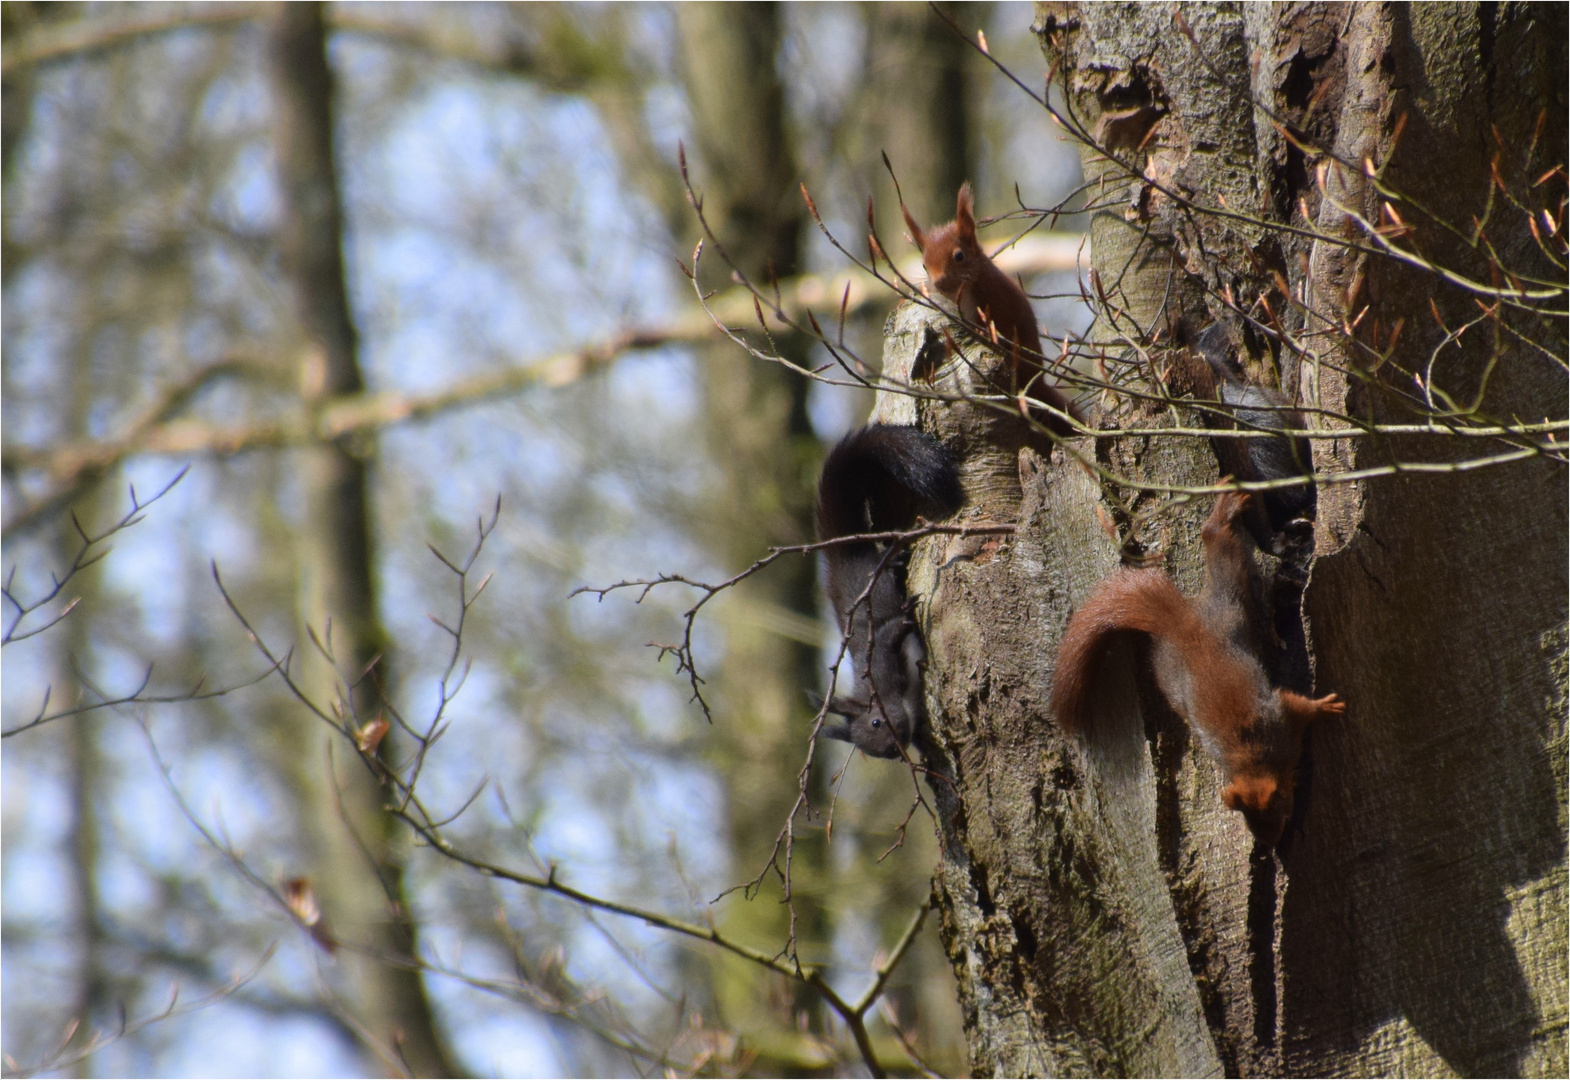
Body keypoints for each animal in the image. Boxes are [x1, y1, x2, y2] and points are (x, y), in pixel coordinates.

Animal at [816, 423, 960, 759]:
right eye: (875, 754)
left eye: (876, 722)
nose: (896, 749)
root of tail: (842, 553)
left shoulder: (880, 655)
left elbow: (892, 629)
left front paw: (907, 615)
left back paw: (895, 561)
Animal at [904, 183, 1086, 436]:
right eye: (924, 264)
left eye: (959, 255)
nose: (938, 282)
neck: (962, 292)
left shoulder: (996, 298)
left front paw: (984, 333)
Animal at [1048, 489, 1343, 841]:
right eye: (1253, 822)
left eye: (1281, 812)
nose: (1272, 844)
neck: (1254, 760)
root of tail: (1183, 627)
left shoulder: (1281, 718)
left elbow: (1300, 706)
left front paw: (1326, 706)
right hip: (1178, 668)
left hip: (1227, 604)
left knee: (1218, 545)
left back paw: (1224, 512)